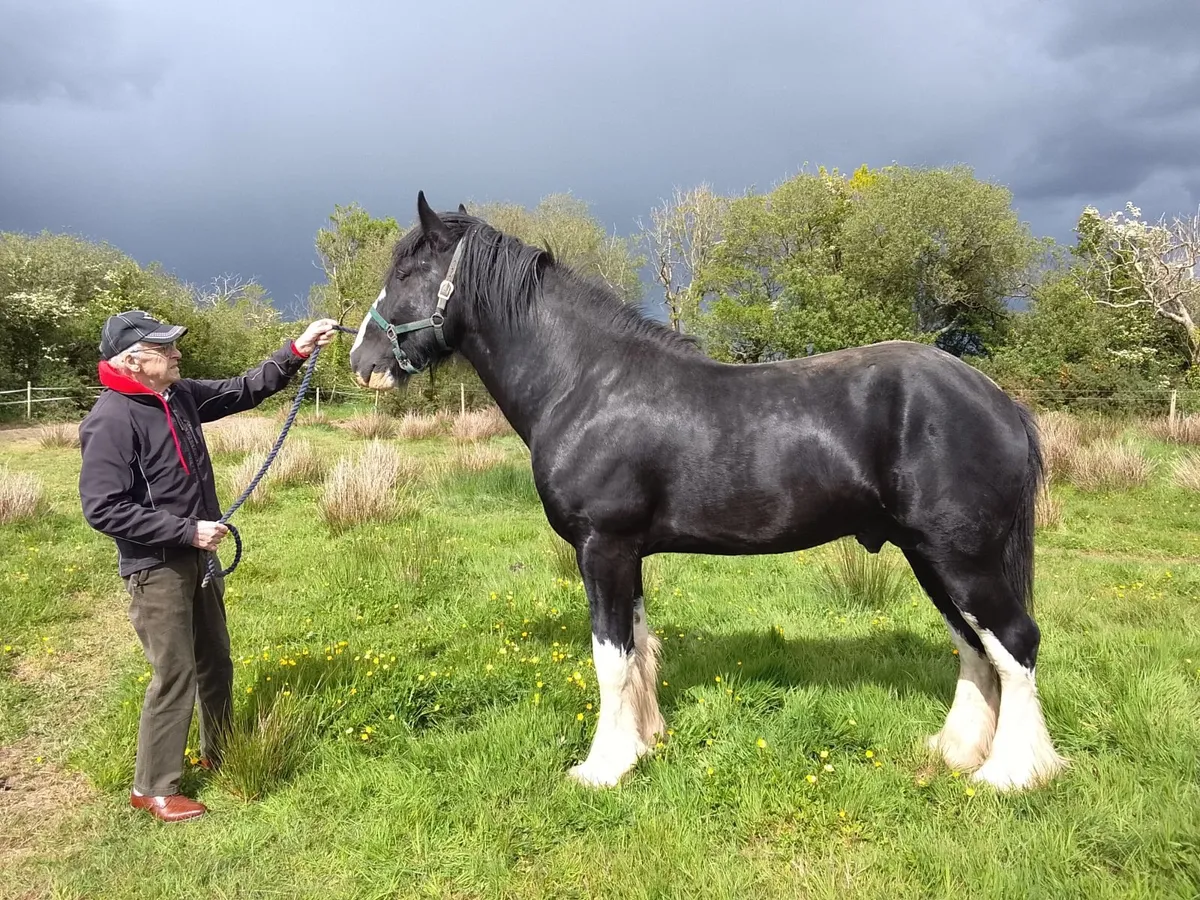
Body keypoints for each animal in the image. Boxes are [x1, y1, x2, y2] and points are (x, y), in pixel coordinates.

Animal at [348, 191, 1068, 792]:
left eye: (409, 272)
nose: (363, 362)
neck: (584, 382)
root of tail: (999, 402)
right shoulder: (627, 554)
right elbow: (639, 649)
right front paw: (645, 743)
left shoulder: (601, 547)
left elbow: (610, 658)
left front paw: (602, 768)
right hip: (927, 556)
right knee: (976, 648)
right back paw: (957, 751)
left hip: (962, 557)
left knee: (1015, 642)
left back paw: (1011, 773)